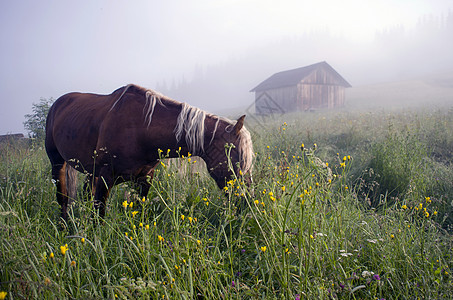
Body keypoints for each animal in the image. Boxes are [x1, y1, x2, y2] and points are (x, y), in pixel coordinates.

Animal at [45, 84, 252, 220]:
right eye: (237, 159)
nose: (247, 203)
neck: (141, 128)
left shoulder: (144, 178)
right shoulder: (105, 177)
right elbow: (99, 215)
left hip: (91, 171)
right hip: (58, 163)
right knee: (62, 197)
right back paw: (64, 226)